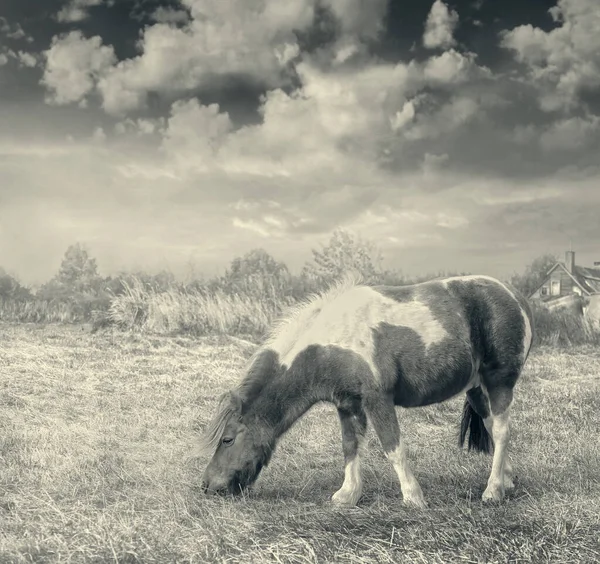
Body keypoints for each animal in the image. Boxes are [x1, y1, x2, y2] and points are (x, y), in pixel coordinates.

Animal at [200, 274, 536, 506]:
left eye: (227, 439)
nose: (208, 485)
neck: (330, 342)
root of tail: (514, 297)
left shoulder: (377, 400)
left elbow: (393, 447)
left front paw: (413, 497)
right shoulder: (347, 404)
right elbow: (350, 446)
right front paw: (347, 495)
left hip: (500, 382)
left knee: (502, 432)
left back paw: (493, 491)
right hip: (478, 390)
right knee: (493, 429)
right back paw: (506, 480)